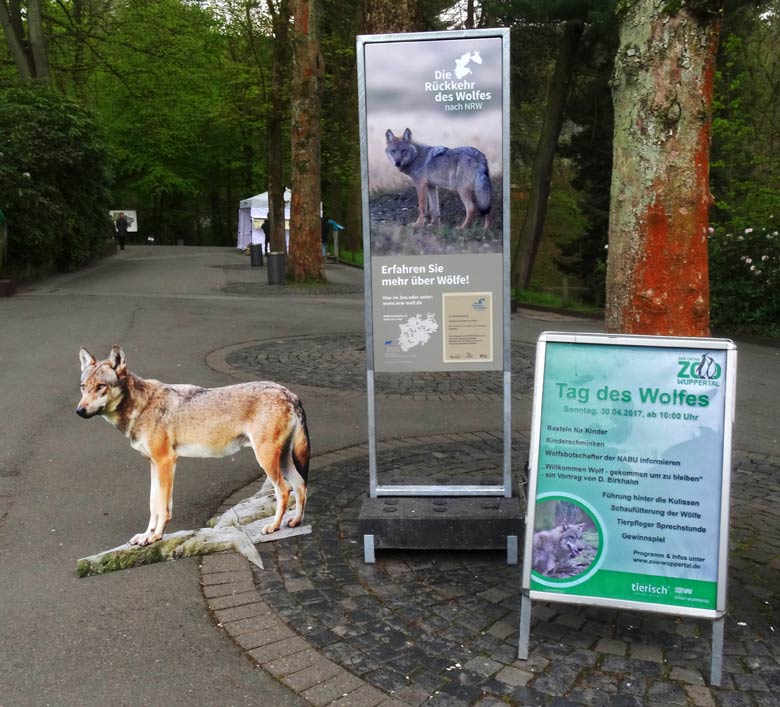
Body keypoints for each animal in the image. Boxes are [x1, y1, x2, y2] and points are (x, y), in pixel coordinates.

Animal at [77, 348, 310, 548]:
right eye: (83, 387)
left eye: (100, 386)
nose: (79, 411)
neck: (142, 407)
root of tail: (289, 393)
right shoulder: (153, 464)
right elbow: (153, 505)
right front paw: (146, 536)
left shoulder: (166, 462)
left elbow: (163, 508)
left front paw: (156, 536)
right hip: (282, 461)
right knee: (300, 485)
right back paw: (295, 522)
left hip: (267, 461)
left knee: (285, 490)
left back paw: (273, 527)